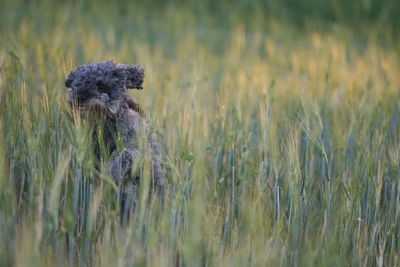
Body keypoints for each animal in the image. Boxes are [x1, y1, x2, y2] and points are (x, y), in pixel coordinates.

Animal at [65, 60, 164, 218]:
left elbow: (123, 156)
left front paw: (113, 170)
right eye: (77, 83)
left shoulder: (136, 150)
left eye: (101, 85)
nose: (79, 97)